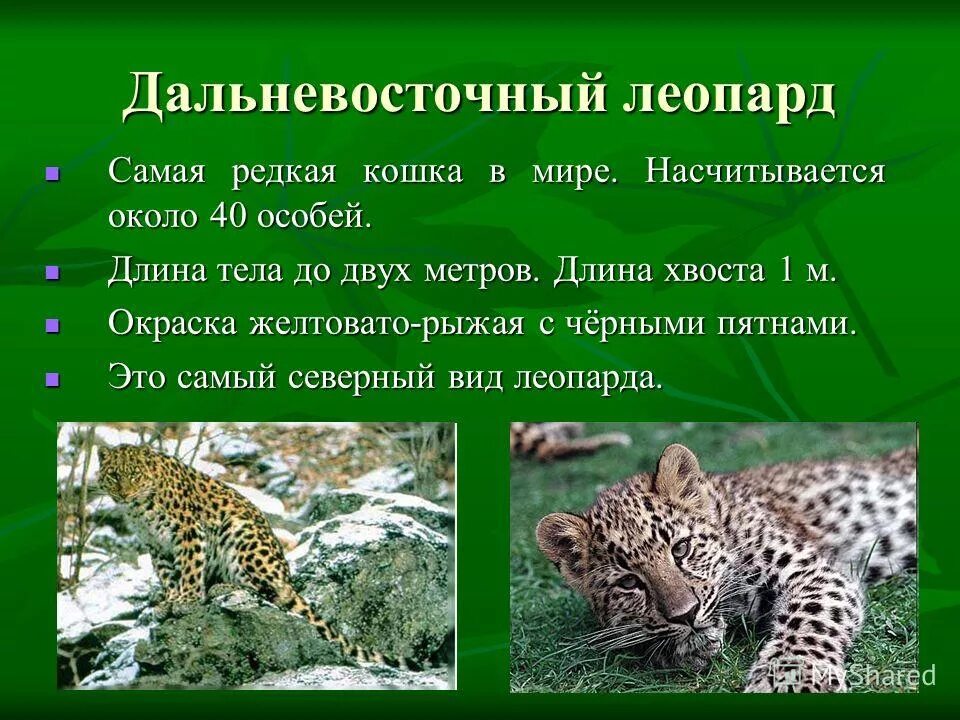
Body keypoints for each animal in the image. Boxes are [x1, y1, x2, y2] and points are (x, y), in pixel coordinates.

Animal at [97, 443, 417, 668]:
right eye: (114, 476)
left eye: (135, 474)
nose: (124, 494)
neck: (138, 509)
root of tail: (288, 577)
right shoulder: (157, 546)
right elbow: (168, 576)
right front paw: (169, 601)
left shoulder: (189, 530)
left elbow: (189, 567)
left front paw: (187, 600)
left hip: (241, 534)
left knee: (269, 591)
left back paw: (221, 587)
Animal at [537, 442, 916, 692]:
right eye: (629, 583)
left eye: (682, 549)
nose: (685, 615)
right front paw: (685, 648)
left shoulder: (811, 572)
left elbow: (808, 617)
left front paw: (791, 676)